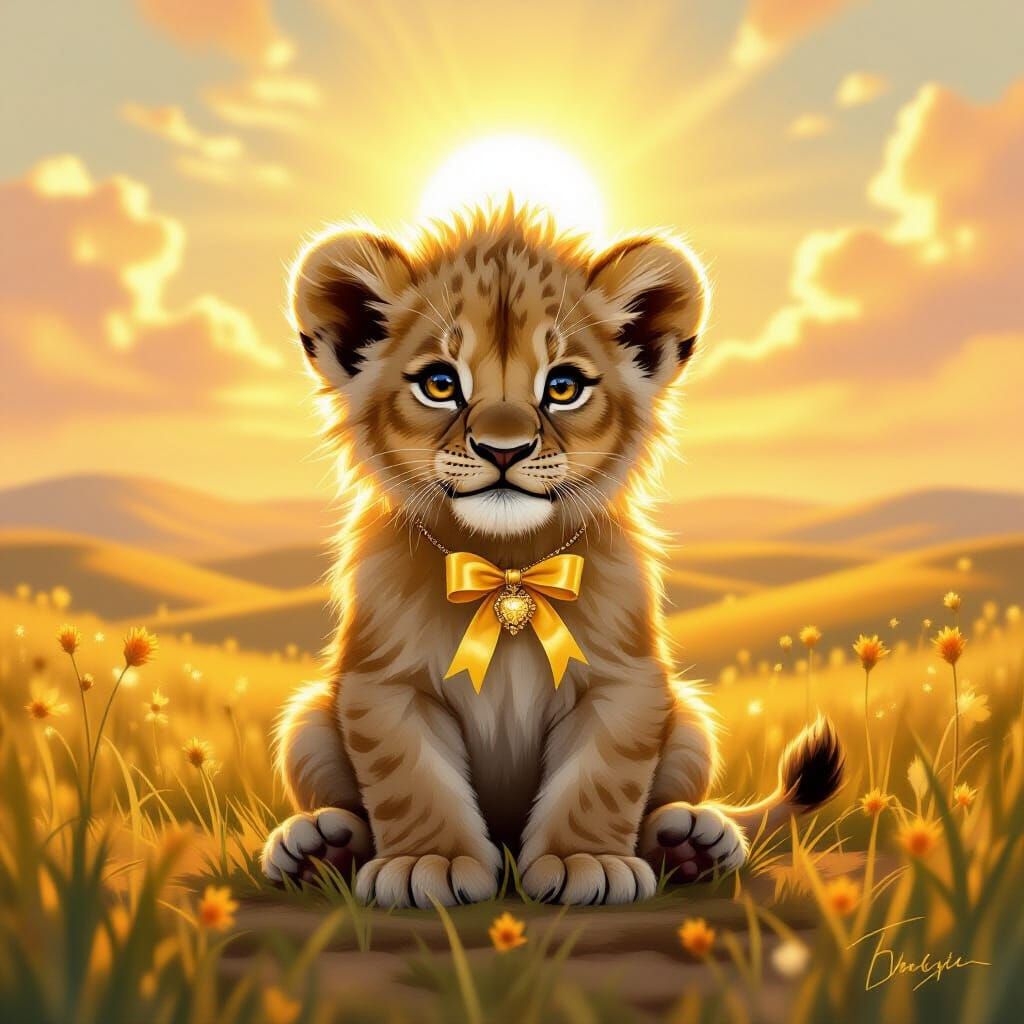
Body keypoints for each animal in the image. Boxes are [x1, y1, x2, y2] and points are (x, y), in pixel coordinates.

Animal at [261, 203, 843, 907]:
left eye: (563, 387)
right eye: (440, 384)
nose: (503, 449)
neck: (507, 560)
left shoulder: (624, 685)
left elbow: (600, 781)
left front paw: (584, 861)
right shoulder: (386, 687)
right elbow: (413, 781)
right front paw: (429, 862)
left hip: (691, 723)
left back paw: (694, 843)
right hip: (307, 722)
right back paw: (317, 847)